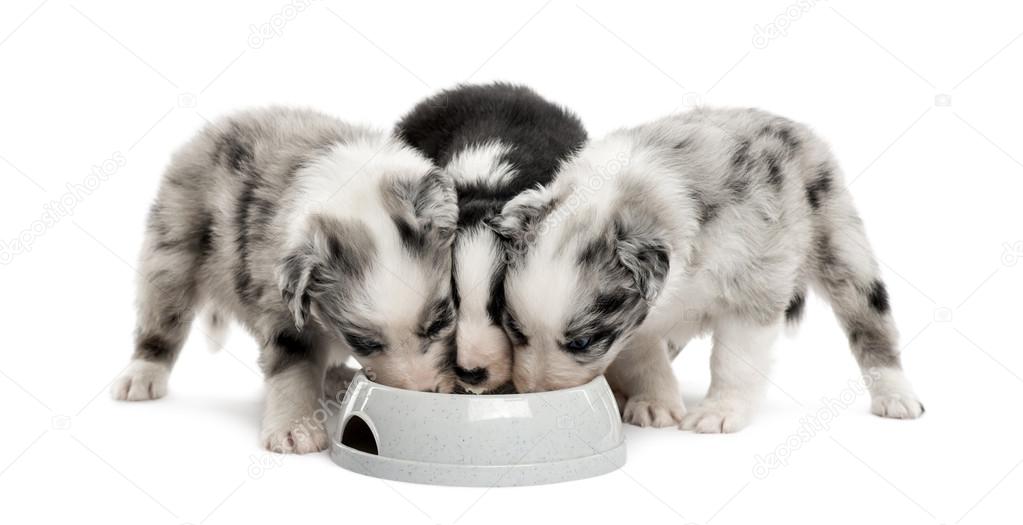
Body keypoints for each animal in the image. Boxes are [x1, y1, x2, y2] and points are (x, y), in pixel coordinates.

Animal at [113, 105, 460, 450]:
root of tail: (217, 126)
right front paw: (296, 430)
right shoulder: (282, 307)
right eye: (363, 342)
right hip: (172, 247)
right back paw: (142, 374)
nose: (425, 392)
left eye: (440, 323)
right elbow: (295, 367)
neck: (353, 191)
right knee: (162, 317)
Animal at [493, 106, 928, 429]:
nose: (534, 392)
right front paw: (653, 404)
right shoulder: (640, 320)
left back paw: (896, 397)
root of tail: (793, 125)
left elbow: (733, 361)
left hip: (841, 244)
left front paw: (719, 413)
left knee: (871, 323)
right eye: (515, 329)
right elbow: (643, 360)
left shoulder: (753, 289)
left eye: (582, 343)